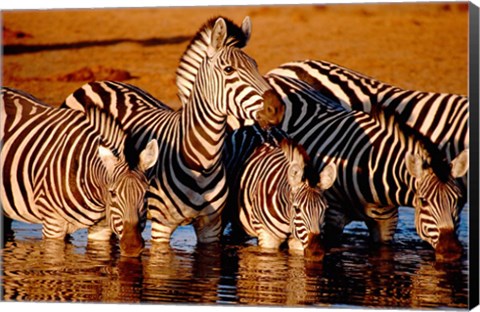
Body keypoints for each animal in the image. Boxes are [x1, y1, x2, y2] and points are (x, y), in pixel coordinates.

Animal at [61, 17, 284, 245]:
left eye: (255, 66)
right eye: (229, 70)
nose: (277, 107)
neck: (202, 163)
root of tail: (95, 83)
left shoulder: (211, 225)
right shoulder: (161, 227)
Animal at [226, 128, 336, 260]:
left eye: (324, 209)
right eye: (297, 209)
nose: (317, 253)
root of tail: (255, 126)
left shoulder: (297, 240)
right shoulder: (268, 237)